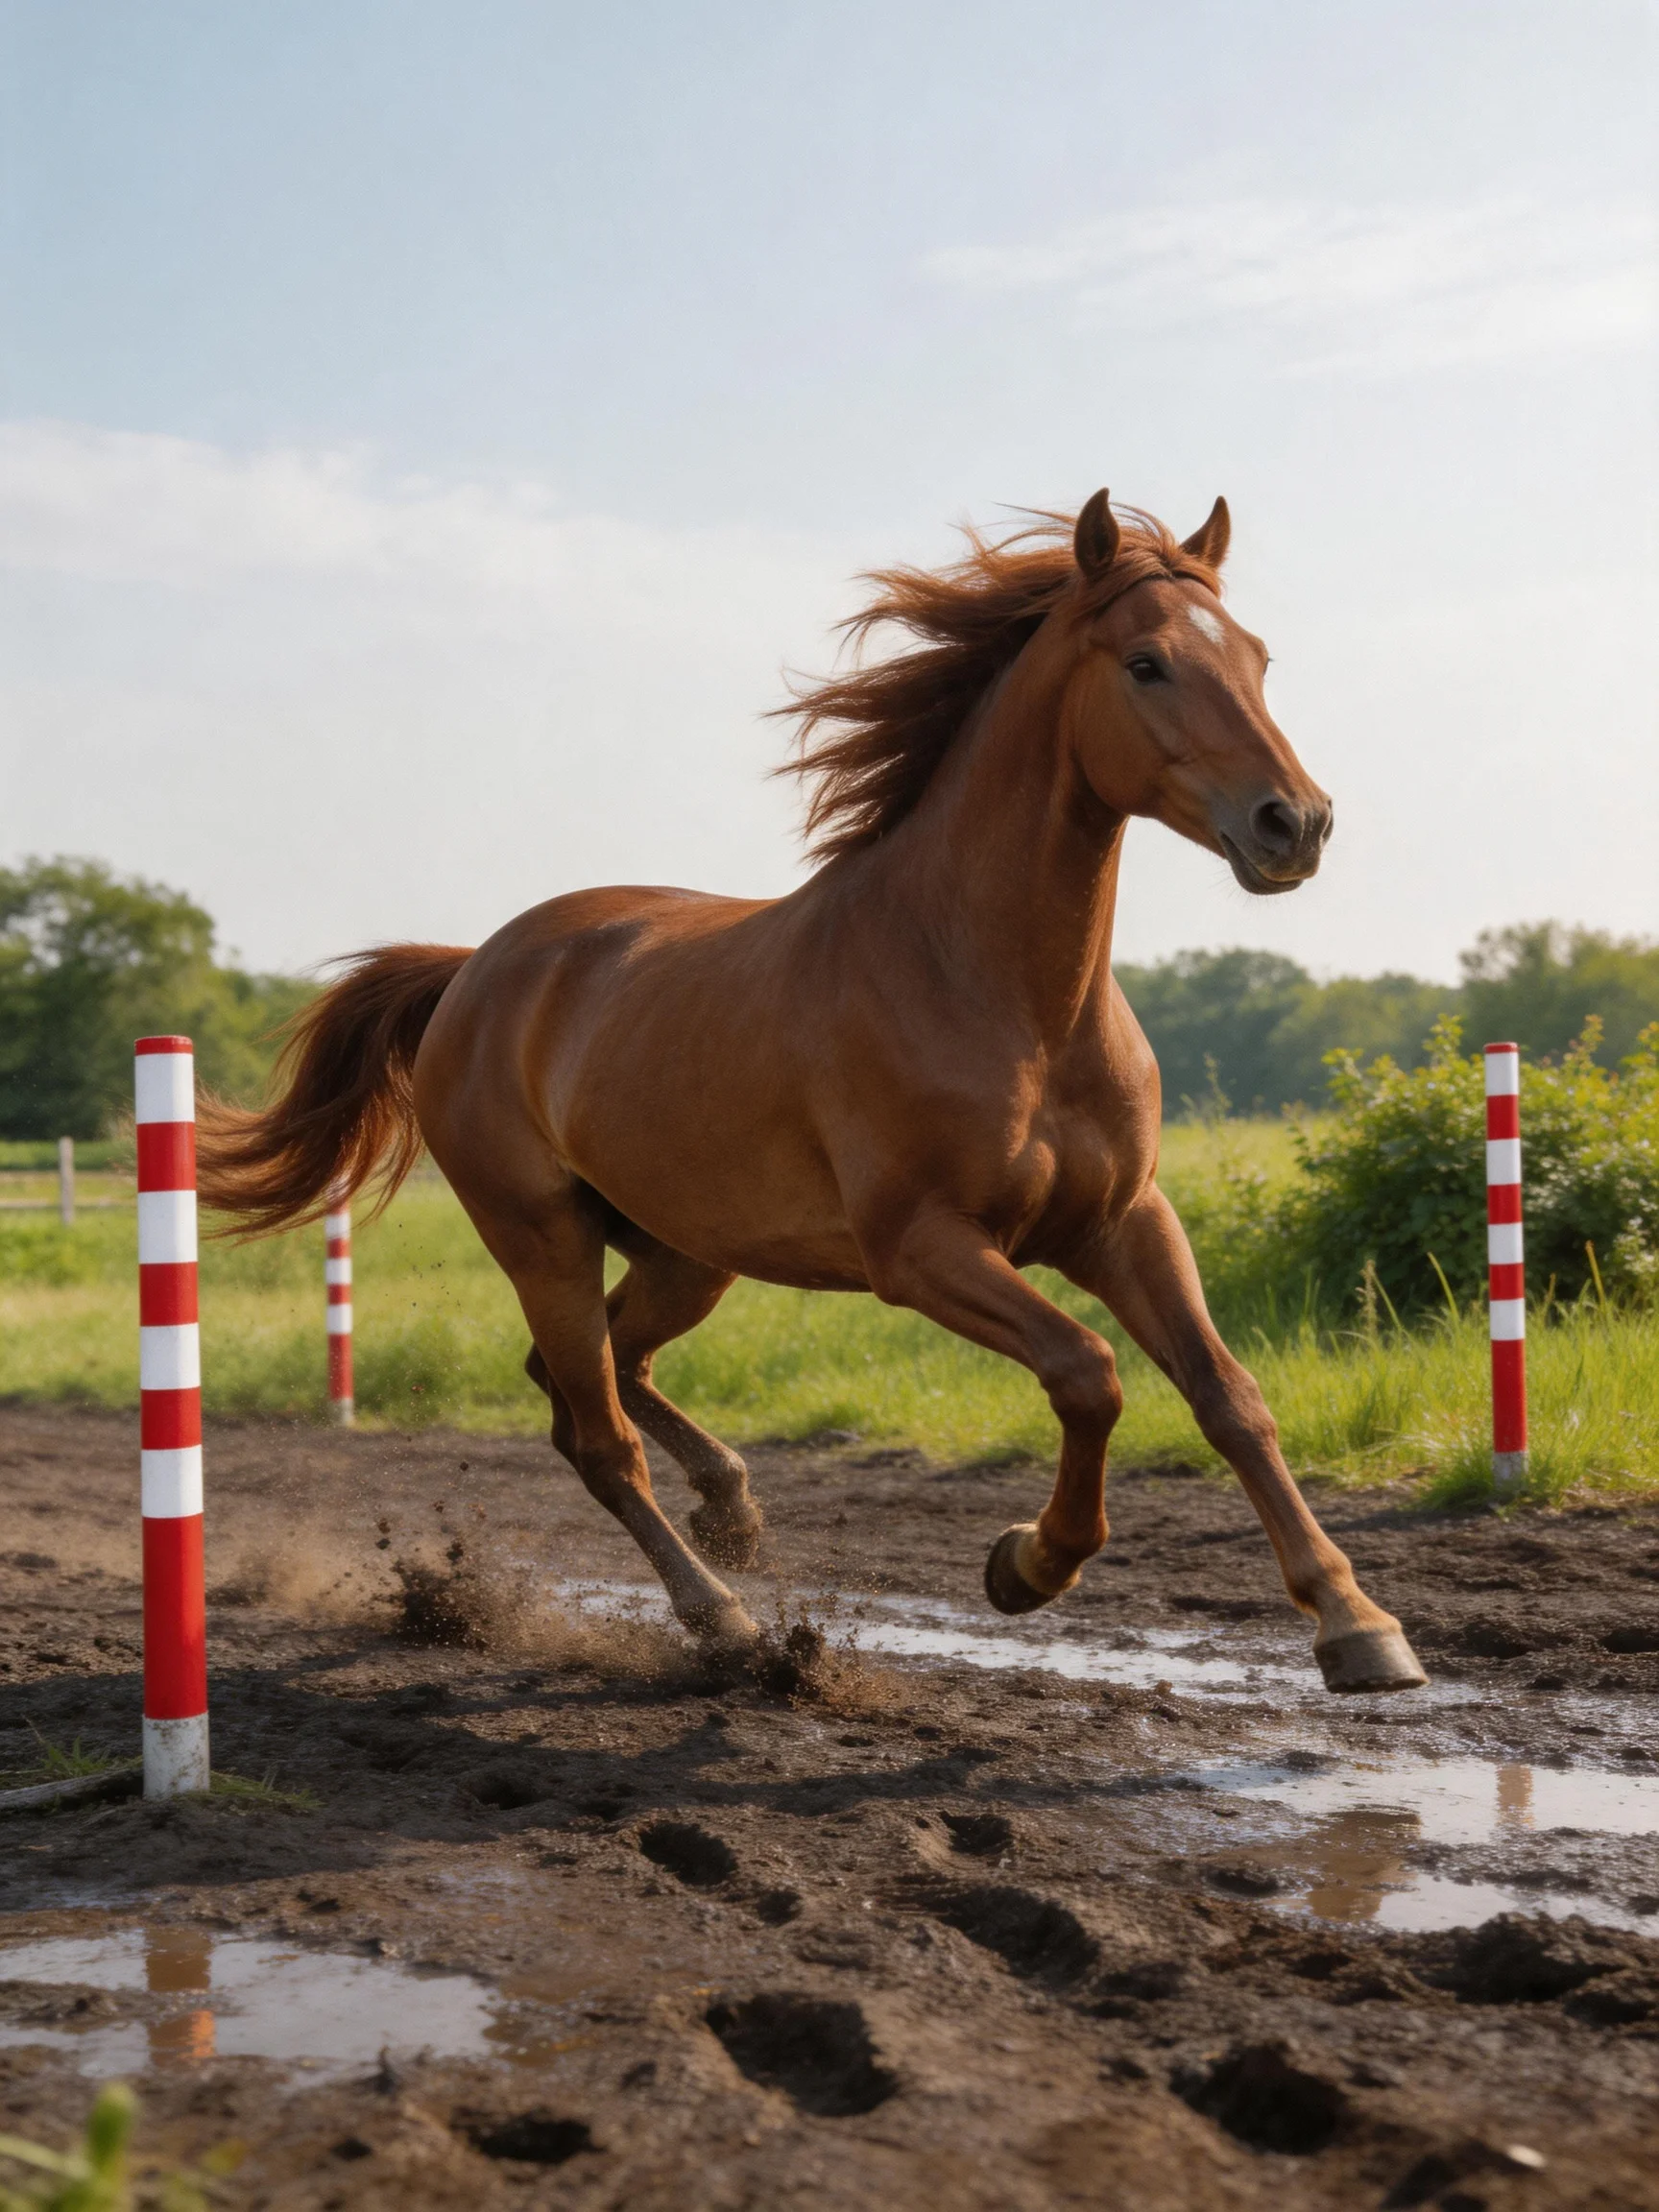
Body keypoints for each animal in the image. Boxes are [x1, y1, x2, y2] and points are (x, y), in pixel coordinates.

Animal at [198, 491, 1426, 1696]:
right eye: (1147, 664)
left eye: (1258, 657)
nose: (1295, 823)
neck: (1000, 991)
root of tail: (473, 970)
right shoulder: (922, 1248)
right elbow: (1088, 1373)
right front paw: (1026, 1566)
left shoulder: (1124, 1222)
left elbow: (1230, 1397)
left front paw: (1359, 1627)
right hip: (542, 1240)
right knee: (596, 1433)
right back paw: (726, 1618)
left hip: (687, 1255)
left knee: (591, 1372)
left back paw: (733, 1508)